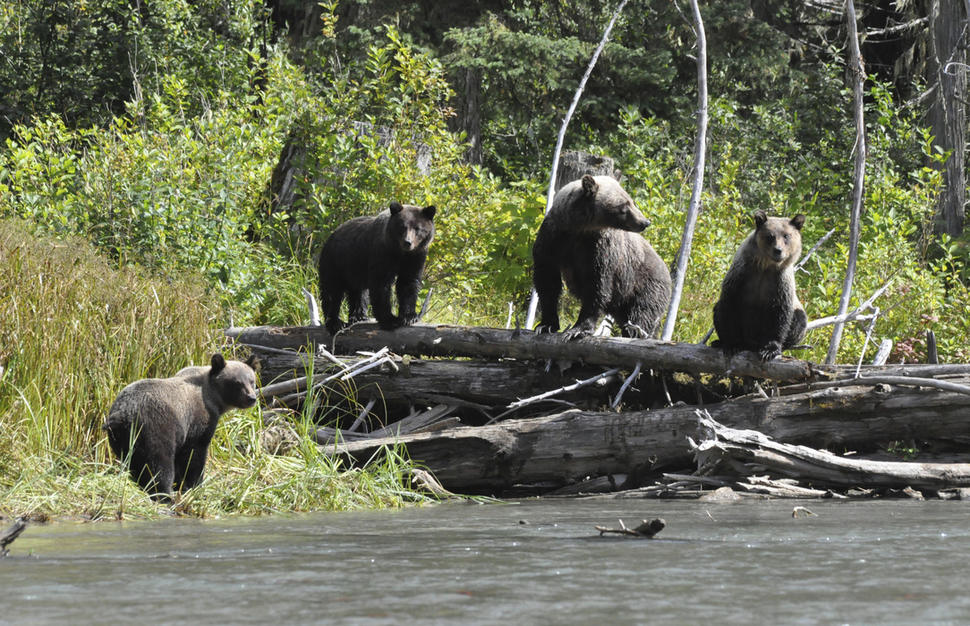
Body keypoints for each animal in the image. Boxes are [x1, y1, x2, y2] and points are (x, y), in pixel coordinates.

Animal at [103, 353, 258, 501]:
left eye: (252, 381)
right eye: (237, 383)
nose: (251, 398)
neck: (214, 400)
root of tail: (120, 414)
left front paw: (183, 485)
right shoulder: (196, 422)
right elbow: (194, 455)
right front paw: (195, 485)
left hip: (121, 438)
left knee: (135, 462)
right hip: (153, 426)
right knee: (158, 462)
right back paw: (164, 495)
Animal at [318, 201, 436, 334]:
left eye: (418, 229)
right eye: (402, 227)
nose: (408, 242)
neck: (400, 253)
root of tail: (331, 236)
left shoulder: (416, 256)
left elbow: (408, 282)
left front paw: (409, 317)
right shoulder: (382, 253)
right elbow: (381, 285)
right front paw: (390, 320)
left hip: (354, 267)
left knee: (358, 292)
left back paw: (359, 316)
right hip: (335, 262)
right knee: (332, 291)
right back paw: (335, 323)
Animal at [532, 174, 672, 338]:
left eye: (631, 201)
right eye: (624, 206)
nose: (645, 222)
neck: (579, 229)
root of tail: (667, 272)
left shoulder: (600, 249)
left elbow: (597, 285)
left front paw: (578, 329)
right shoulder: (553, 239)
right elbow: (547, 281)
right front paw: (546, 325)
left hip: (646, 284)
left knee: (643, 312)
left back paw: (637, 332)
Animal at [712, 210, 807, 361]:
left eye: (787, 236)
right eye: (770, 236)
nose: (778, 250)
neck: (765, 266)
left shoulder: (780, 284)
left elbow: (780, 315)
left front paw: (770, 350)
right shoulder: (741, 275)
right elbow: (728, 307)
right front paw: (732, 344)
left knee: (800, 320)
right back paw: (719, 342)